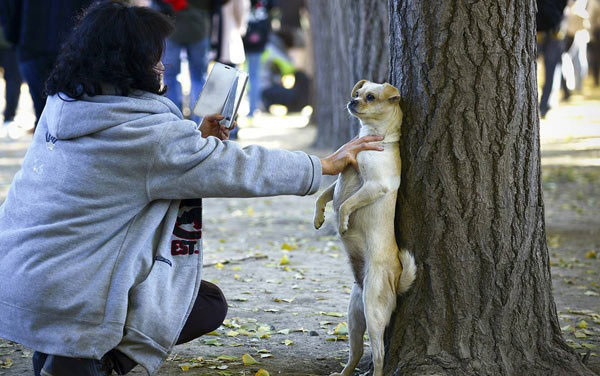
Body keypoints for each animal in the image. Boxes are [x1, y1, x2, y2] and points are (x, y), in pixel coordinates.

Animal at [314, 80, 418, 376]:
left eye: (370, 97)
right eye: (357, 93)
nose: (353, 101)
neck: (373, 137)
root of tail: (397, 278)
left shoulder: (374, 185)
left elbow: (346, 204)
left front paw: (342, 223)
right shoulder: (343, 169)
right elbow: (324, 195)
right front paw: (319, 218)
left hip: (372, 312)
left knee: (380, 354)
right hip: (354, 315)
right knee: (357, 352)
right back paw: (344, 373)